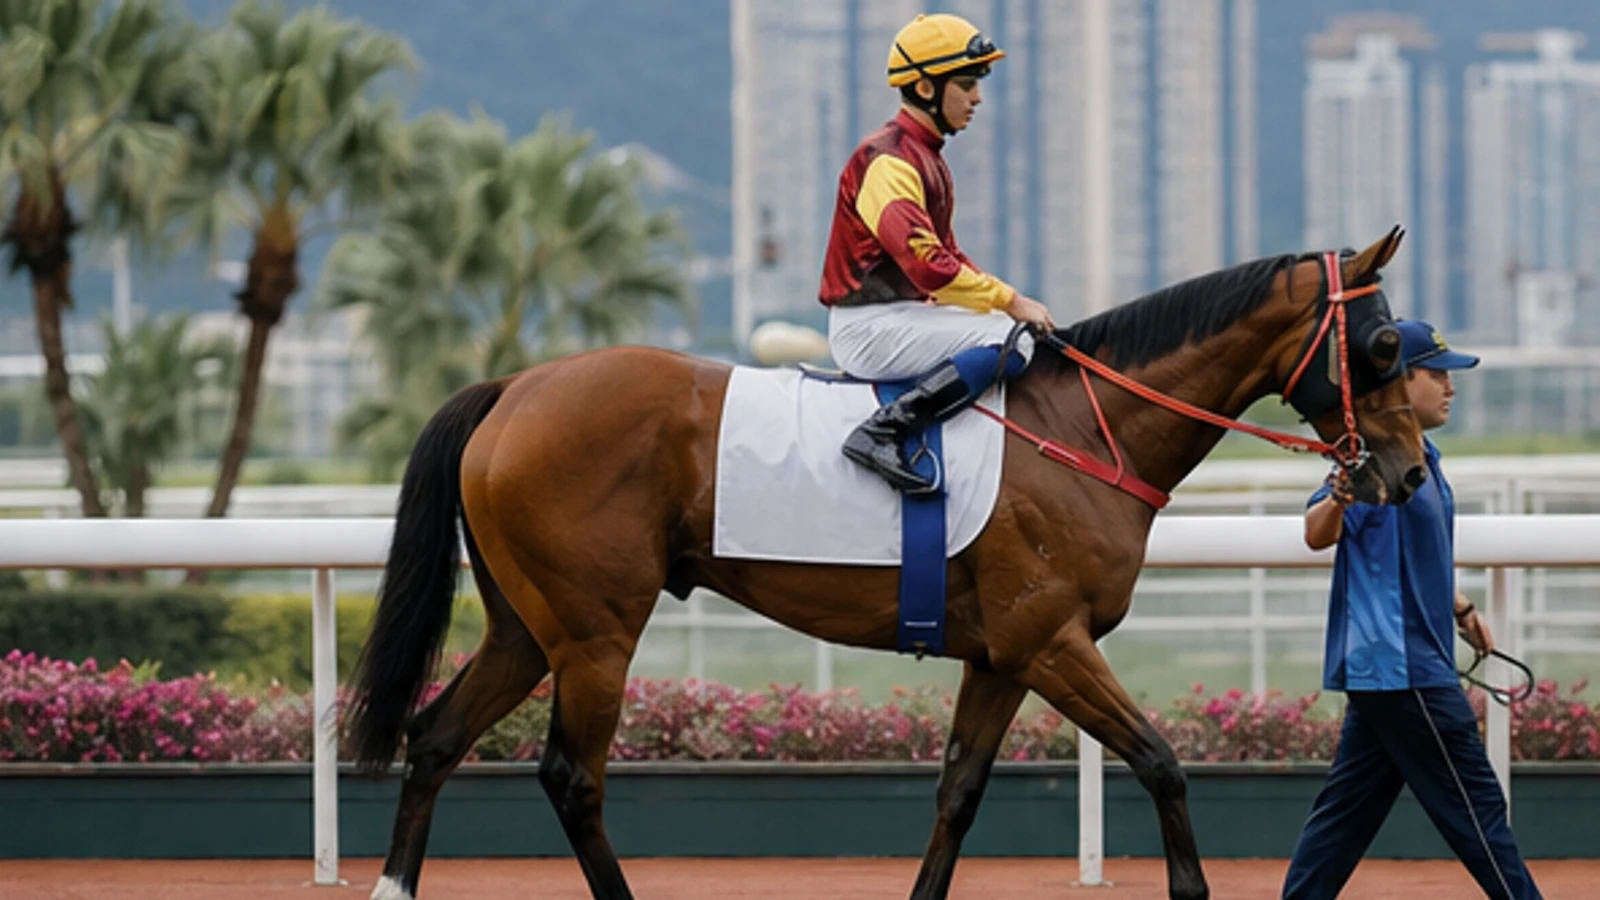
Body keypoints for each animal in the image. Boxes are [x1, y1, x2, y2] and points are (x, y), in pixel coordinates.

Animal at [348, 229, 1427, 900]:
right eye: (1383, 342)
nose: (1411, 472)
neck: (1088, 429)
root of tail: (511, 387)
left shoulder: (1000, 657)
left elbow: (958, 794)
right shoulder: (1052, 641)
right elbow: (1162, 764)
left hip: (528, 628)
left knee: (434, 739)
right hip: (595, 632)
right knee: (571, 776)